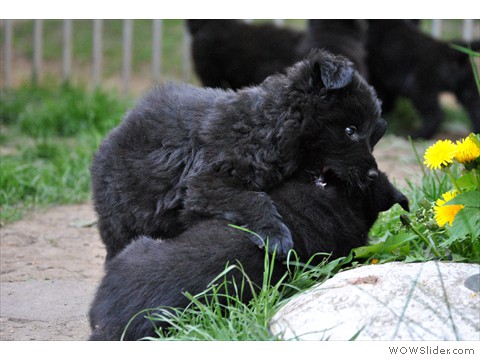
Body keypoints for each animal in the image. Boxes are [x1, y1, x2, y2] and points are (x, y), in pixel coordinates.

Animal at [91, 49, 382, 260]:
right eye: (350, 130)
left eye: (374, 136)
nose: (372, 175)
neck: (270, 125)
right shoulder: (205, 183)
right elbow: (253, 198)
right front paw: (276, 235)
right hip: (123, 217)